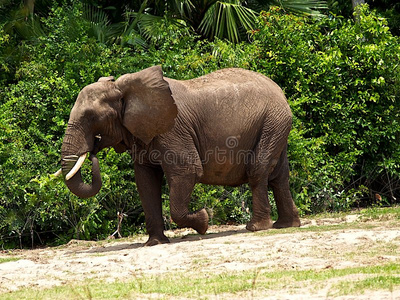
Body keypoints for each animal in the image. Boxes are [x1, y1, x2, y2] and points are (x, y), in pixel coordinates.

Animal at [60, 66, 300, 246]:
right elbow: (145, 181)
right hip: (276, 125)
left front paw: (204, 221)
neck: (123, 87)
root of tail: (281, 93)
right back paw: (286, 225)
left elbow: (187, 172)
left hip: (272, 122)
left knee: (258, 171)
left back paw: (256, 227)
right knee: (279, 176)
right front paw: (155, 243)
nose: (93, 150)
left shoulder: (173, 130)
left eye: (91, 116)